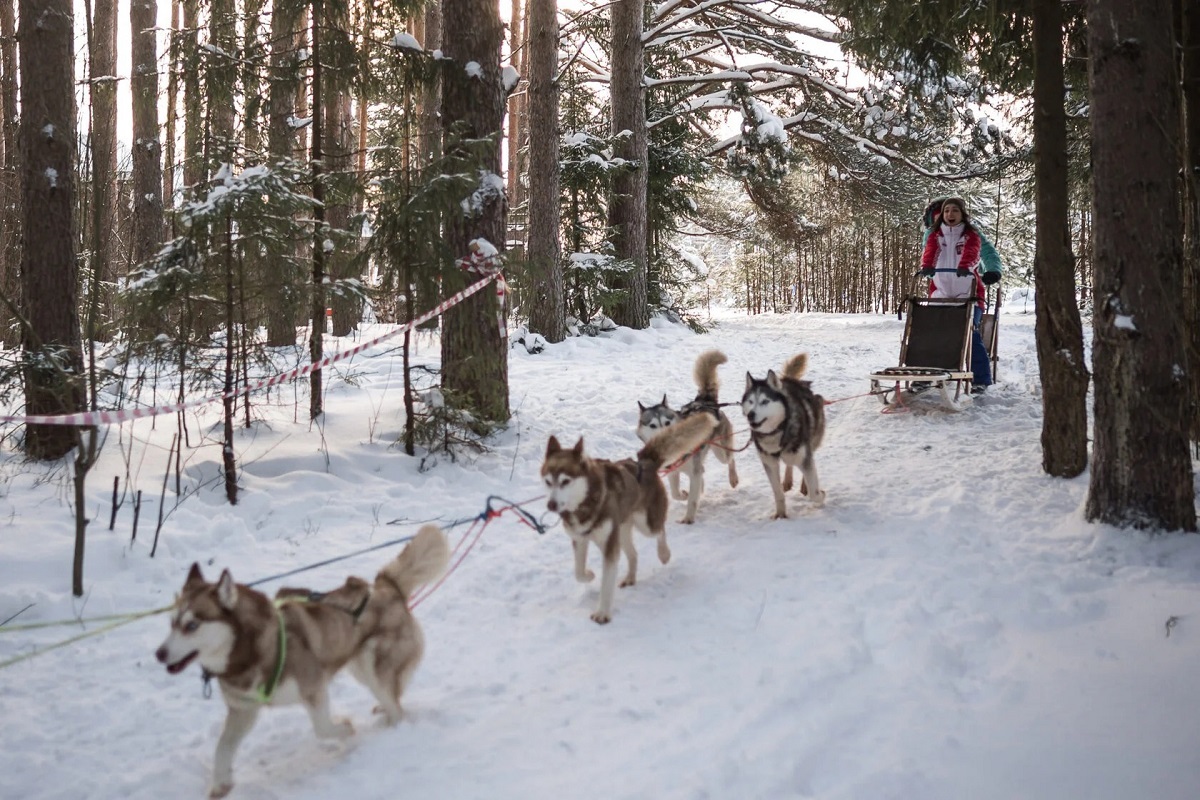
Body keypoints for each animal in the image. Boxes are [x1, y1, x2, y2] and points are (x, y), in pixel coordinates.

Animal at [152, 525, 448, 796]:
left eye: (192, 625)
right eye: (172, 623)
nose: (159, 654)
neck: (252, 652)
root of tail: (386, 587)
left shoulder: (314, 689)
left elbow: (323, 728)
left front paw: (345, 729)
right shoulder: (243, 710)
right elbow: (222, 749)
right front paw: (220, 785)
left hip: (372, 666)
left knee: (397, 706)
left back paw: (390, 729)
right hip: (359, 667)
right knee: (395, 696)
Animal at [540, 412, 715, 623]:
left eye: (565, 481)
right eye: (548, 482)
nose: (551, 505)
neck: (587, 503)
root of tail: (644, 464)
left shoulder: (609, 545)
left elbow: (607, 582)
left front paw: (602, 613)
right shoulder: (579, 540)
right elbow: (578, 572)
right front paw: (589, 575)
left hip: (645, 524)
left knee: (660, 531)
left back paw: (664, 554)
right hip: (622, 531)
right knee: (633, 554)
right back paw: (631, 577)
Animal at [638, 350, 739, 525]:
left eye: (667, 422)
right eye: (652, 425)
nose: (666, 436)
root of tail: (706, 401)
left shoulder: (693, 472)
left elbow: (692, 499)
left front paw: (688, 518)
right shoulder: (672, 471)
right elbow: (675, 493)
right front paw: (684, 495)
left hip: (721, 452)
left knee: (730, 458)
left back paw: (733, 478)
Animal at [739, 352, 825, 520]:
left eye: (765, 401)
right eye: (750, 401)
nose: (751, 415)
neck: (777, 432)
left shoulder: (804, 457)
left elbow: (814, 492)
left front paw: (821, 495)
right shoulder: (769, 463)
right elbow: (777, 493)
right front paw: (780, 514)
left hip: (810, 443)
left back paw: (804, 485)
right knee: (789, 464)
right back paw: (787, 481)